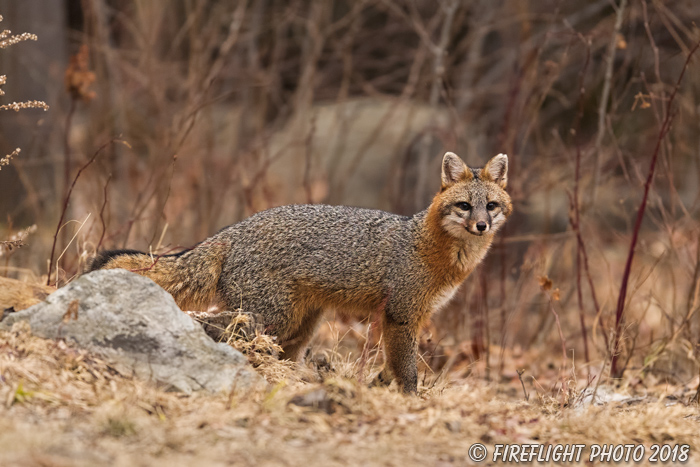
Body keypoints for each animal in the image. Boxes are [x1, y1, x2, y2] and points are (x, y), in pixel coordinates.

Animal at [90, 152, 512, 394]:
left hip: (299, 326)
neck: (427, 246)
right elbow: (406, 370)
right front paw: (411, 401)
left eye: (490, 206)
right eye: (464, 206)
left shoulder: (413, 318)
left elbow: (390, 367)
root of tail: (233, 230)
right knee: (215, 324)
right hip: (269, 317)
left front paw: (379, 388)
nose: (481, 226)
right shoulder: (400, 316)